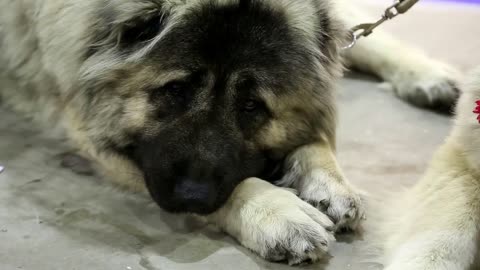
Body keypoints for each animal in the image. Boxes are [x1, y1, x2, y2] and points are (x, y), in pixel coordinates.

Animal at [0, 0, 460, 266]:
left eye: (252, 106)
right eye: (175, 90)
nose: (192, 196)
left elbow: (316, 126)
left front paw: (329, 181)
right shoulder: (92, 133)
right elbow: (244, 183)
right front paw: (278, 212)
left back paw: (430, 76)